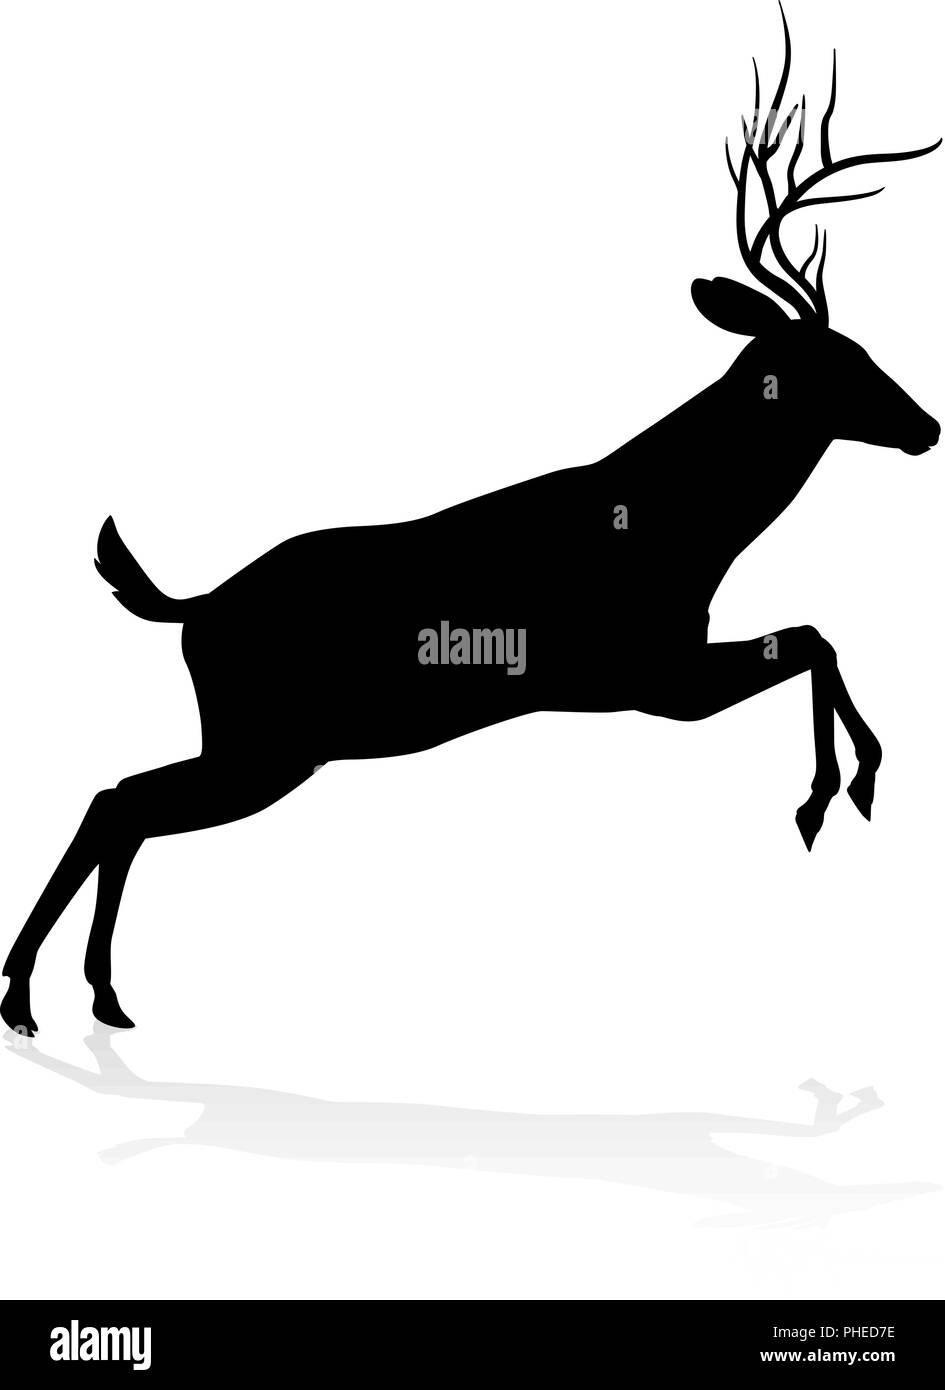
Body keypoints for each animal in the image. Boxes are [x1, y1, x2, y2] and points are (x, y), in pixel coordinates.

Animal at [1, 7, 939, 1036]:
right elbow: (811, 636)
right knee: (120, 799)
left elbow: (811, 635)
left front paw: (839, 788)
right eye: (837, 359)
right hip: (267, 746)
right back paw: (36, 995)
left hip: (256, 745)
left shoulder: (658, 672)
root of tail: (193, 606)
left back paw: (89, 995)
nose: (925, 426)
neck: (687, 529)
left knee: (120, 798)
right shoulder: (649, 676)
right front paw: (838, 791)